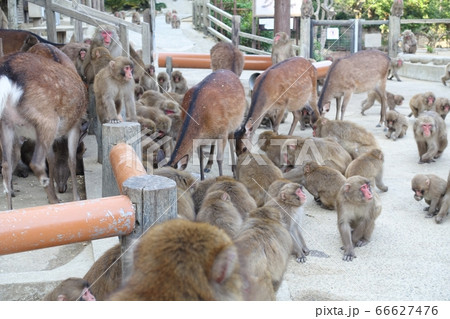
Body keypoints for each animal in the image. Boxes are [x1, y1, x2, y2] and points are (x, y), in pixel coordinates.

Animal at [0, 52, 87, 210]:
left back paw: (10, 209)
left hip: (6, 124)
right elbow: (71, 160)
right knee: (36, 163)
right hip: (47, 118)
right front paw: (76, 198)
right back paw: (52, 197)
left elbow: (51, 158)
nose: (61, 188)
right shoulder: (75, 125)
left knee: (6, 167)